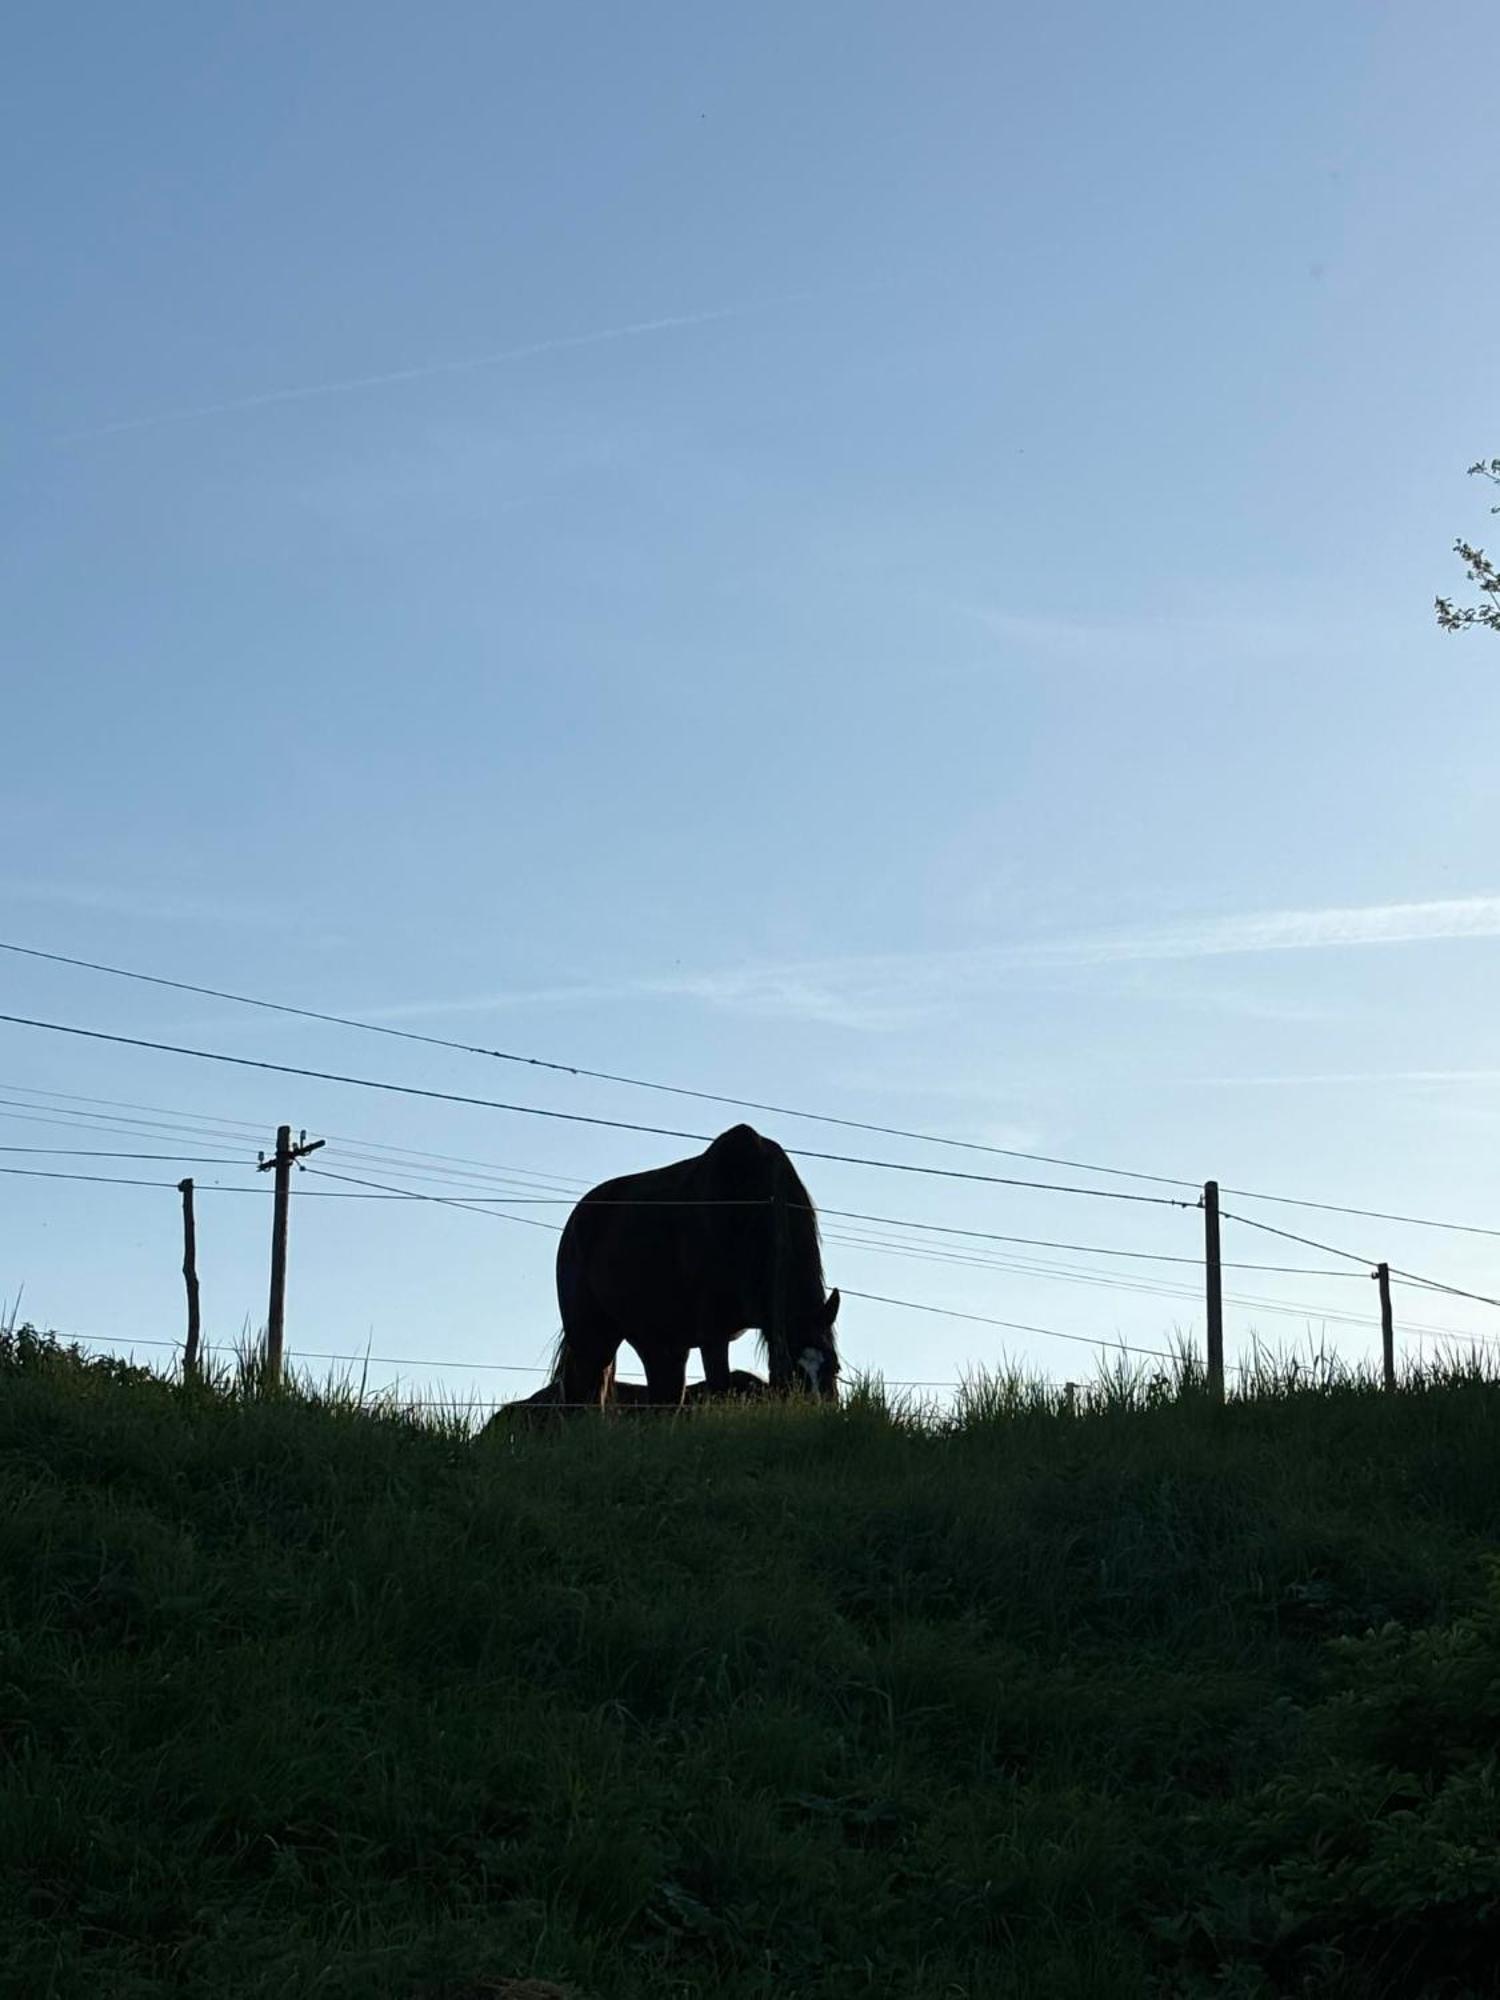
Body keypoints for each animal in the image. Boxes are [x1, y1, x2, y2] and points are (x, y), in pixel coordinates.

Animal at [552, 1128, 840, 1408]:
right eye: (788, 1374)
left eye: (835, 1368)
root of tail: (575, 1220)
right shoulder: (712, 1332)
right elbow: (720, 1388)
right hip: (590, 1337)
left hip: (658, 1343)